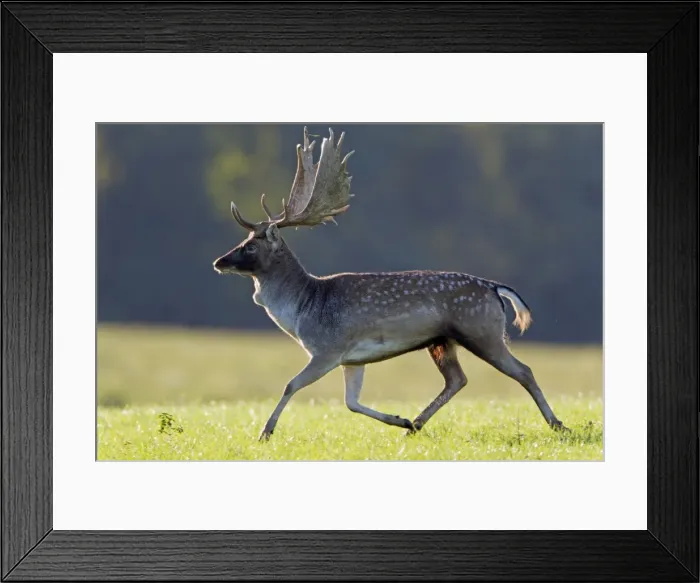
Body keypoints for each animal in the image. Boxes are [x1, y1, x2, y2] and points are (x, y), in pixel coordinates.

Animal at [213, 127, 568, 441]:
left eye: (251, 245)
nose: (219, 261)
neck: (304, 309)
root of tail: (495, 288)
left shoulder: (328, 348)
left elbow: (291, 385)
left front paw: (265, 432)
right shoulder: (352, 359)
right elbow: (351, 403)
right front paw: (399, 419)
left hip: (481, 330)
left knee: (523, 370)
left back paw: (557, 424)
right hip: (442, 340)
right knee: (457, 379)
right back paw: (415, 424)